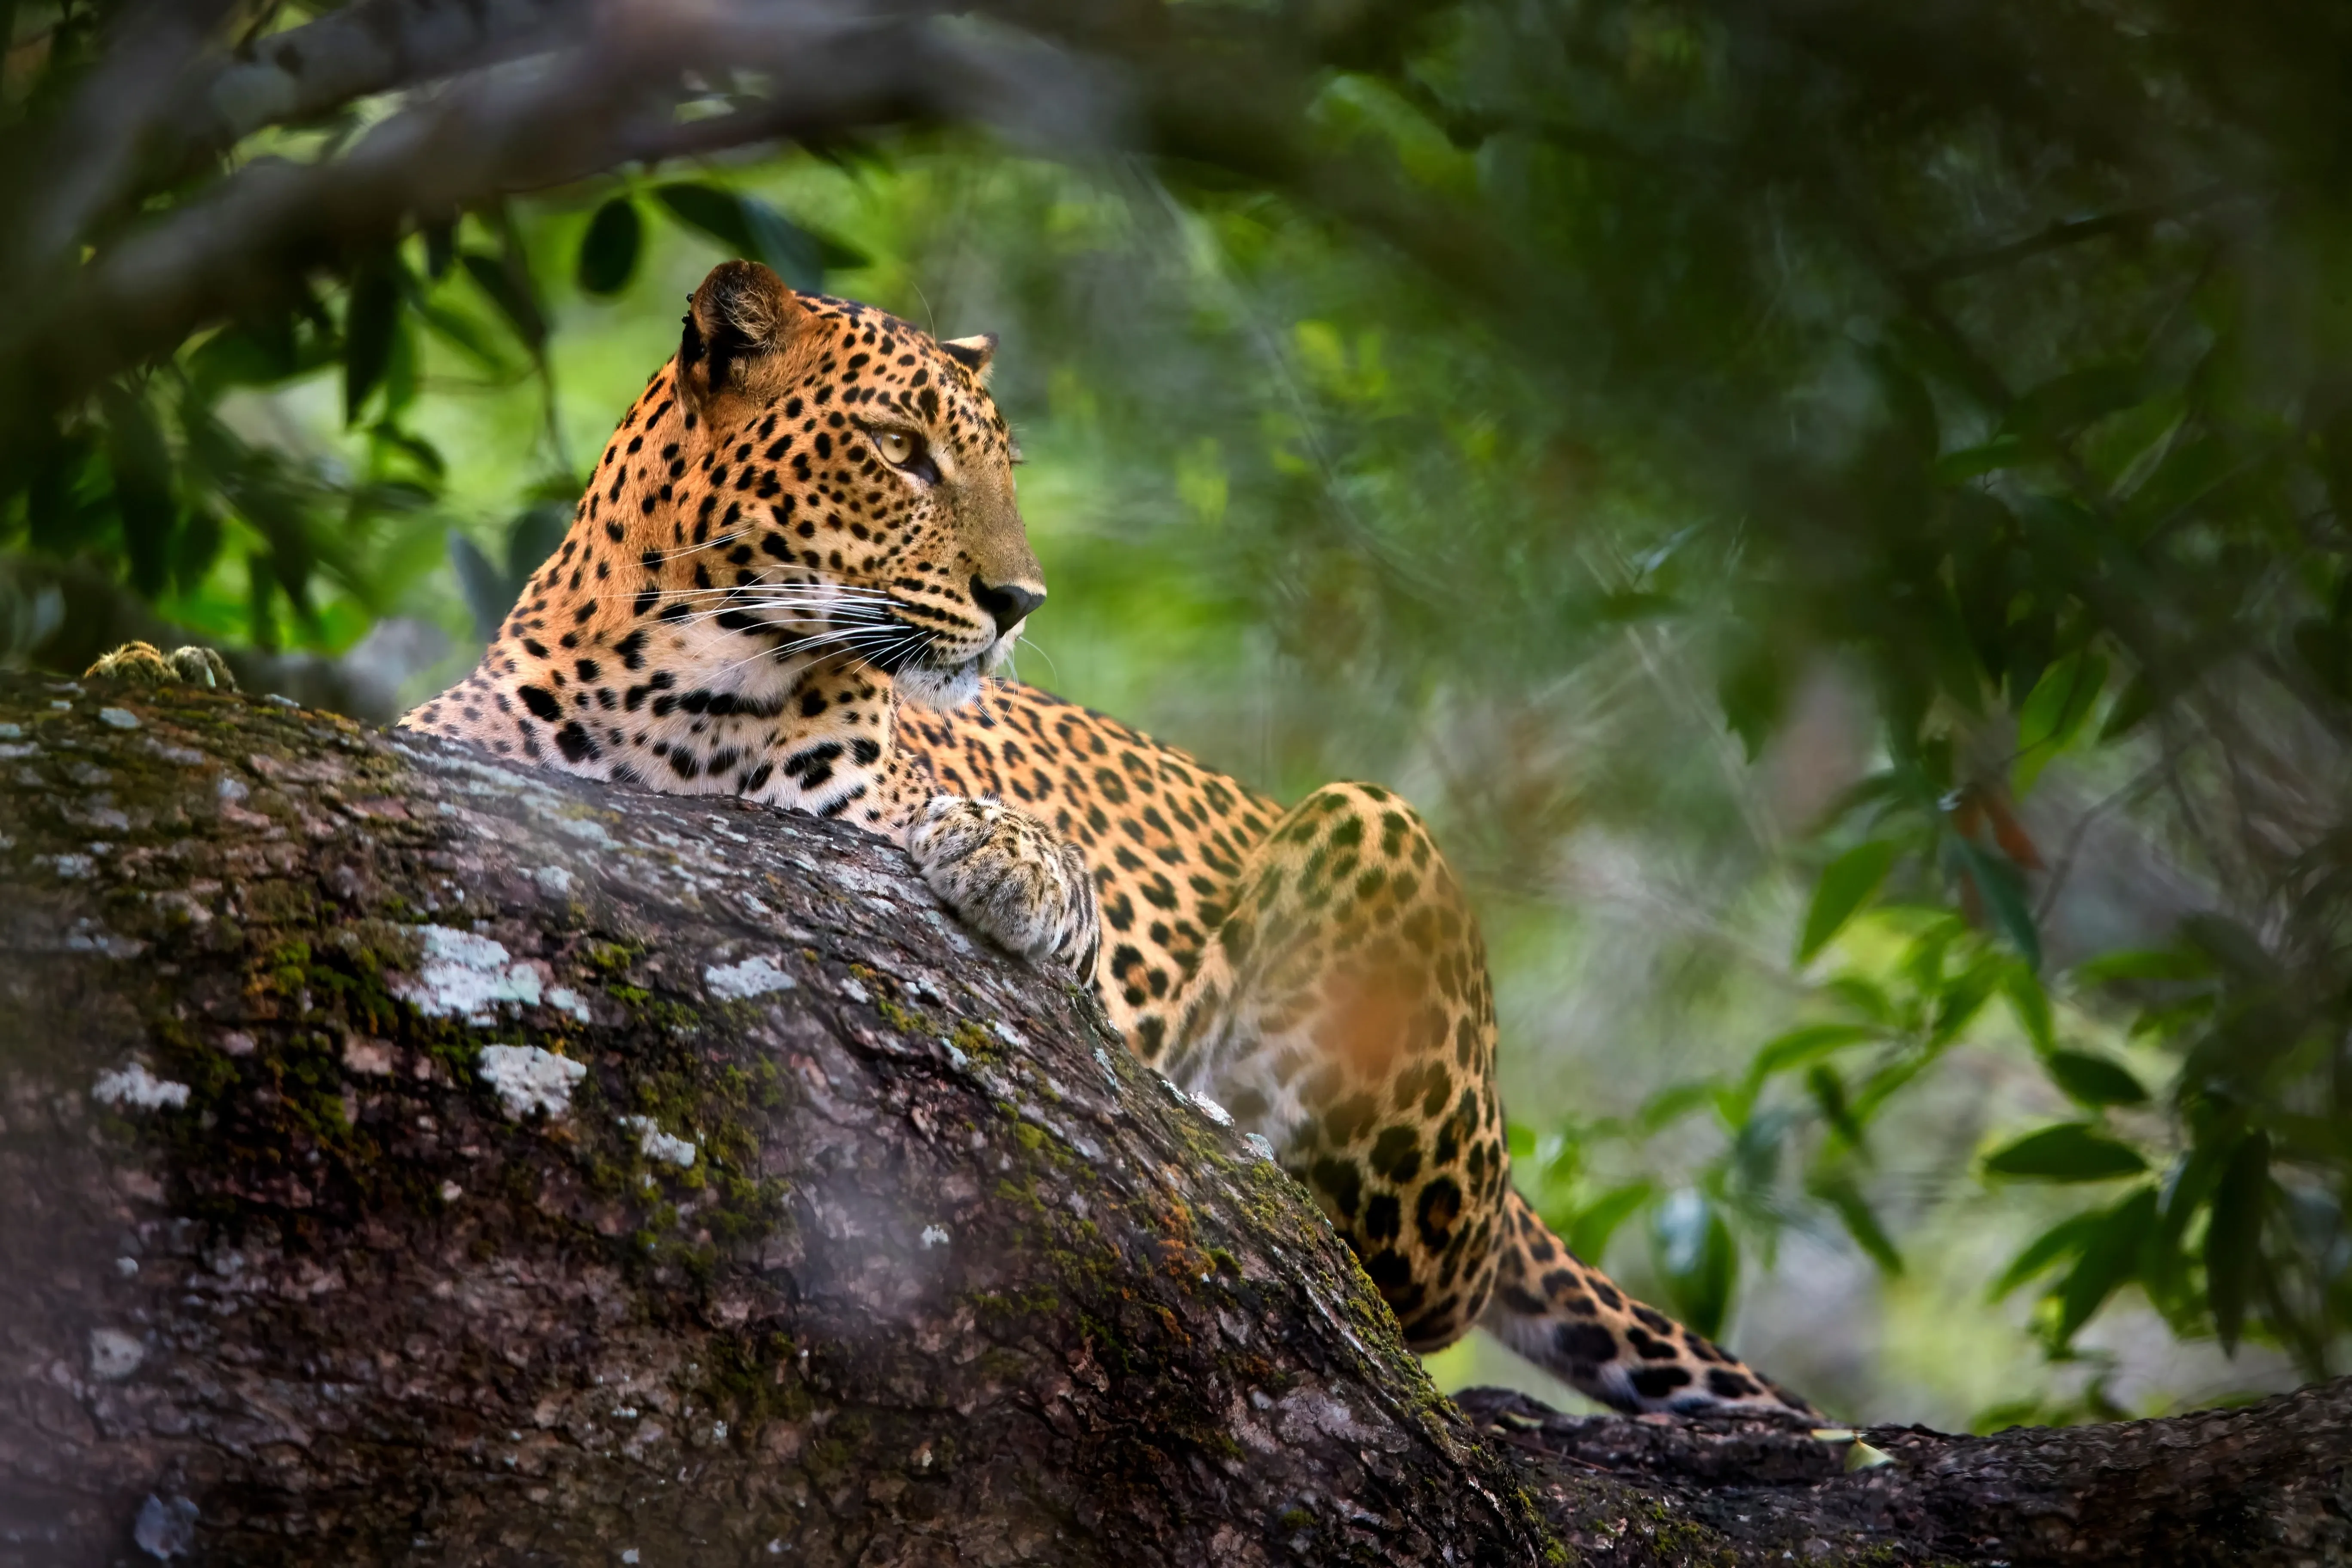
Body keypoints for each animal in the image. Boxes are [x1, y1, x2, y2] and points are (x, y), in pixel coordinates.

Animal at [104, 260, 1815, 1420]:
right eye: (903, 450)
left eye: (996, 463)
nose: (1021, 603)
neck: (674, 668)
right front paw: (158, 666)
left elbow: (942, 815)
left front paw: (1014, 864)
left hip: (1373, 837)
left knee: (1408, 1285)